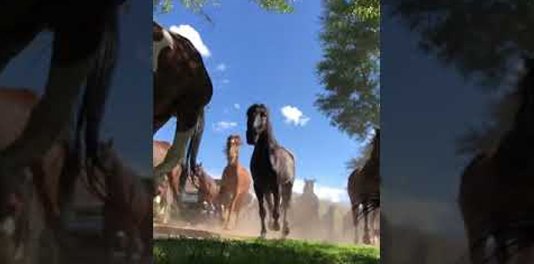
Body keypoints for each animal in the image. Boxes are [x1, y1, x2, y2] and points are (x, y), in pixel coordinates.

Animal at [247, 103, 298, 239]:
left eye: (264, 115)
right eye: (248, 114)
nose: (251, 135)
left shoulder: (276, 186)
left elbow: (277, 210)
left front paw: (276, 226)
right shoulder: (258, 187)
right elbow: (263, 211)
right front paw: (263, 232)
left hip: (287, 186)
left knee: (285, 206)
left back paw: (284, 231)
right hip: (267, 190)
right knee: (272, 205)